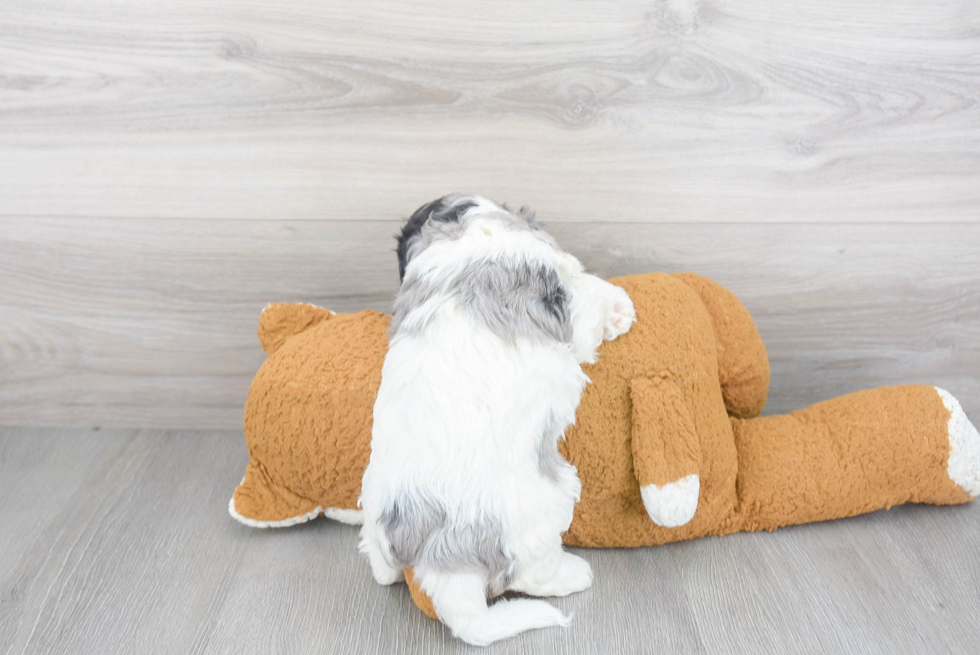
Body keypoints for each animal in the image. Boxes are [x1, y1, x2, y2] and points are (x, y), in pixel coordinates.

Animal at [360, 193, 636, 644]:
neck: (466, 232)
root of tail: (442, 565)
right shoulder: (563, 290)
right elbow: (588, 295)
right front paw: (618, 309)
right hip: (546, 508)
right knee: (534, 575)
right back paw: (573, 574)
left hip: (372, 505)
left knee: (383, 569)